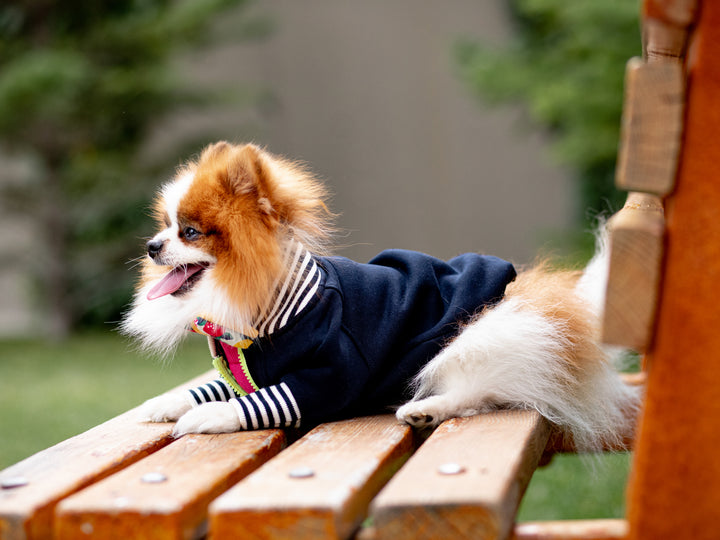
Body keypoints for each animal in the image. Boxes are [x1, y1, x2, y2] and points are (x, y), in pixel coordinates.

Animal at [121, 140, 640, 452]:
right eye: (163, 226)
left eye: (189, 232)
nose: (151, 245)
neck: (268, 305)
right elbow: (208, 386)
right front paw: (164, 403)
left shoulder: (330, 373)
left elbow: (259, 400)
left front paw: (209, 415)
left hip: (484, 331)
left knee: (479, 392)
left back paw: (425, 410)